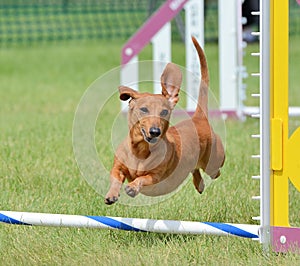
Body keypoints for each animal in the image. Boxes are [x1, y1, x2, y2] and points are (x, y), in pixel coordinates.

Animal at [104, 36, 224, 205]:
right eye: (144, 109)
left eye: (164, 112)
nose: (155, 132)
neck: (140, 151)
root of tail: (198, 118)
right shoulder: (118, 167)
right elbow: (115, 177)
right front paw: (112, 194)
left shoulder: (156, 176)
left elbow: (142, 178)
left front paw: (133, 187)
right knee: (195, 170)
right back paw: (199, 184)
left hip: (213, 163)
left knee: (215, 171)